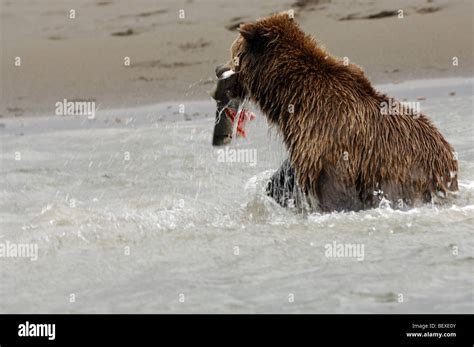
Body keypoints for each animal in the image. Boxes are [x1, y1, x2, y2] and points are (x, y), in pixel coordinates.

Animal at [224, 12, 458, 212]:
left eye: (233, 54)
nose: (220, 71)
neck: (293, 97)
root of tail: (448, 156)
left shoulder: (328, 142)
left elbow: (333, 193)